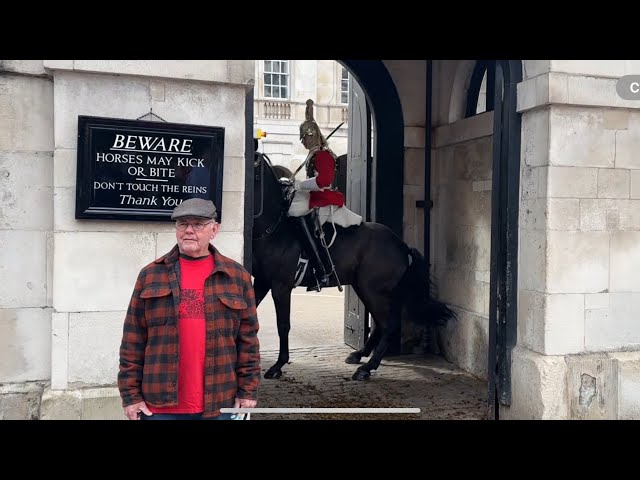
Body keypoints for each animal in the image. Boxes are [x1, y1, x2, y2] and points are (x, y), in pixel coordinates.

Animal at [250, 152, 456, 380]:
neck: (273, 228)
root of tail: (402, 245)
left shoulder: (281, 286)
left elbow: (283, 325)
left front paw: (278, 365)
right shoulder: (262, 282)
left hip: (372, 290)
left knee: (388, 325)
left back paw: (367, 367)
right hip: (367, 289)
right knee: (380, 325)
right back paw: (359, 355)